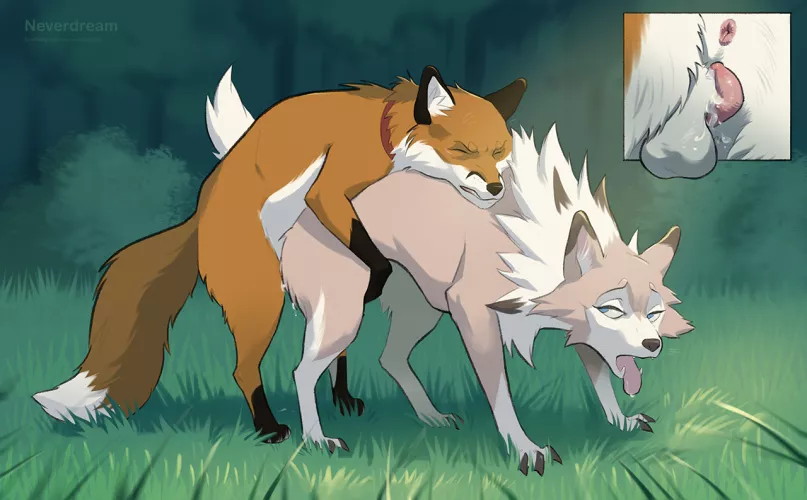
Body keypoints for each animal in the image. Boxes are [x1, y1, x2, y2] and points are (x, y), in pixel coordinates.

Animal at [31, 65, 528, 444]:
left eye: (499, 150)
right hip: (262, 301)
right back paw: (269, 427)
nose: (494, 187)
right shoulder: (332, 189)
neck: (388, 131)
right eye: (462, 150)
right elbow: (374, 258)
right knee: (244, 370)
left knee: (328, 343)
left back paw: (340, 399)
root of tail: (200, 216)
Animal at [261, 121, 694, 475]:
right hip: (346, 319)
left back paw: (431, 417)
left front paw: (620, 421)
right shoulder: (473, 311)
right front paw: (525, 448)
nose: (652, 345)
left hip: (421, 312)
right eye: (611, 309)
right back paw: (317, 439)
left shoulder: (585, 334)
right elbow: (500, 392)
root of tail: (292, 227)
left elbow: (603, 379)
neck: (537, 246)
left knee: (390, 358)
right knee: (303, 372)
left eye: (653, 313)